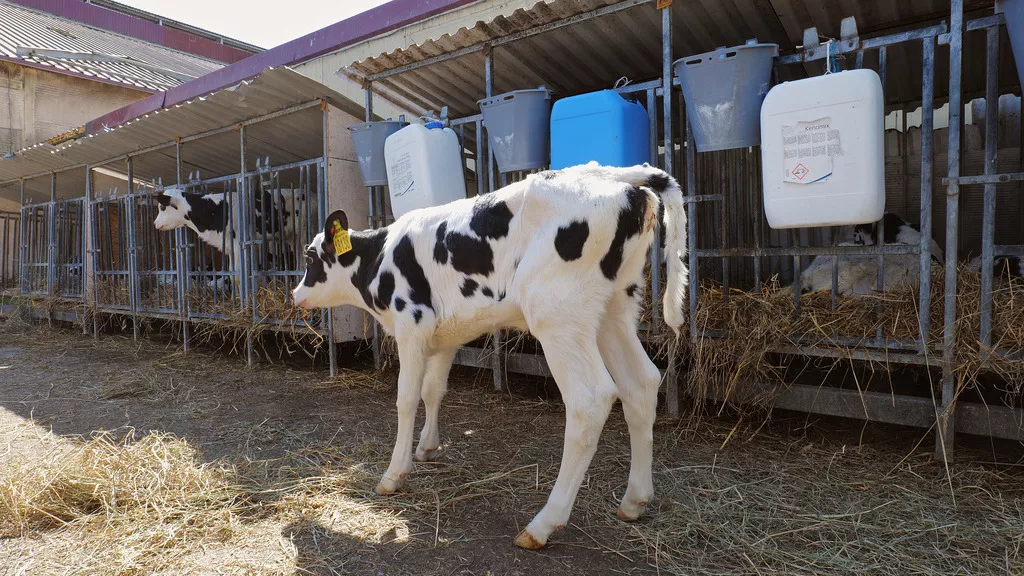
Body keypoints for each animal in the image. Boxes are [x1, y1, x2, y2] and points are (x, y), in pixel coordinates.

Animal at [290, 161, 688, 545]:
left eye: (310, 258)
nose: (295, 294)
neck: (381, 257)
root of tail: (615, 176)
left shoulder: (411, 326)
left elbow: (406, 398)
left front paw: (394, 473)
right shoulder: (444, 336)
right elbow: (433, 391)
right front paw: (427, 448)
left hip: (558, 314)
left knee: (590, 401)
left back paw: (543, 524)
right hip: (614, 308)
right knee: (642, 384)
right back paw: (634, 501)